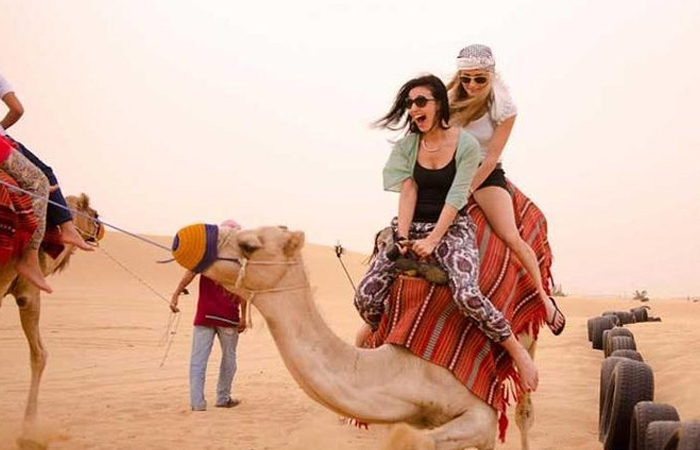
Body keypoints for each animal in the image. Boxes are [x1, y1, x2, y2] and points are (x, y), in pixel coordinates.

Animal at [176, 224, 537, 450]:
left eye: (249, 245)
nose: (182, 238)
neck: (408, 367)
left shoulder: (481, 414)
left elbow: (416, 441)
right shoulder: (407, 413)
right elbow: (407, 437)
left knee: (524, 411)